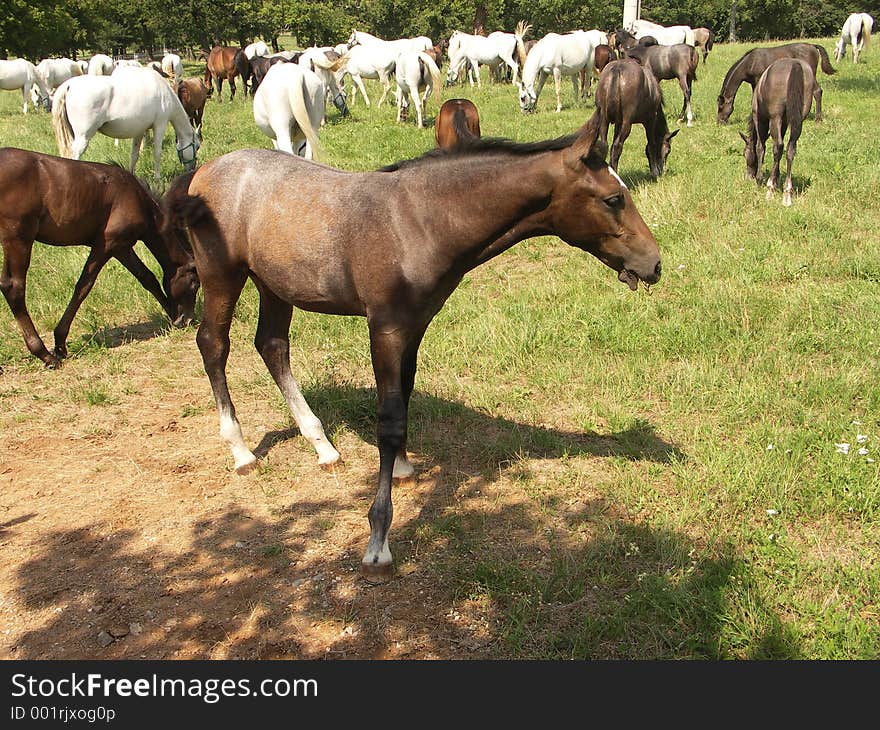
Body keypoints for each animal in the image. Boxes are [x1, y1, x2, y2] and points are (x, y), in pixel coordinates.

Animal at [0, 148, 199, 366]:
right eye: (195, 283)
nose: (188, 319)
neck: (137, 199)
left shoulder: (122, 247)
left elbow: (148, 278)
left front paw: (171, 314)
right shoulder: (106, 245)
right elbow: (83, 287)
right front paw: (60, 343)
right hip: (19, 238)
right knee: (13, 287)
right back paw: (45, 354)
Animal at [52, 66, 201, 179]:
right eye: (197, 146)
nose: (192, 169)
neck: (165, 92)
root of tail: (69, 85)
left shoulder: (140, 131)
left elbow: (134, 155)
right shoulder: (160, 124)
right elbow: (157, 153)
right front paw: (157, 177)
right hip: (83, 137)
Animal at [165, 114, 660, 580]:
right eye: (613, 199)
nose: (654, 263)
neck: (419, 221)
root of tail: (203, 171)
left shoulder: (416, 327)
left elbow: (403, 396)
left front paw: (402, 467)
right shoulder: (386, 329)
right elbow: (389, 420)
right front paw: (378, 542)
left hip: (274, 283)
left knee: (272, 344)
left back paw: (322, 446)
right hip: (222, 275)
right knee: (213, 344)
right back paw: (241, 451)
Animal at [740, 58, 816, 206]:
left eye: (745, 154)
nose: (749, 176)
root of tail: (795, 65)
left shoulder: (759, 118)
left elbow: (760, 147)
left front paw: (760, 178)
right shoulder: (785, 122)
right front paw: (777, 175)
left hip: (775, 118)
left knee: (778, 147)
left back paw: (770, 188)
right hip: (798, 119)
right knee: (790, 149)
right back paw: (787, 192)